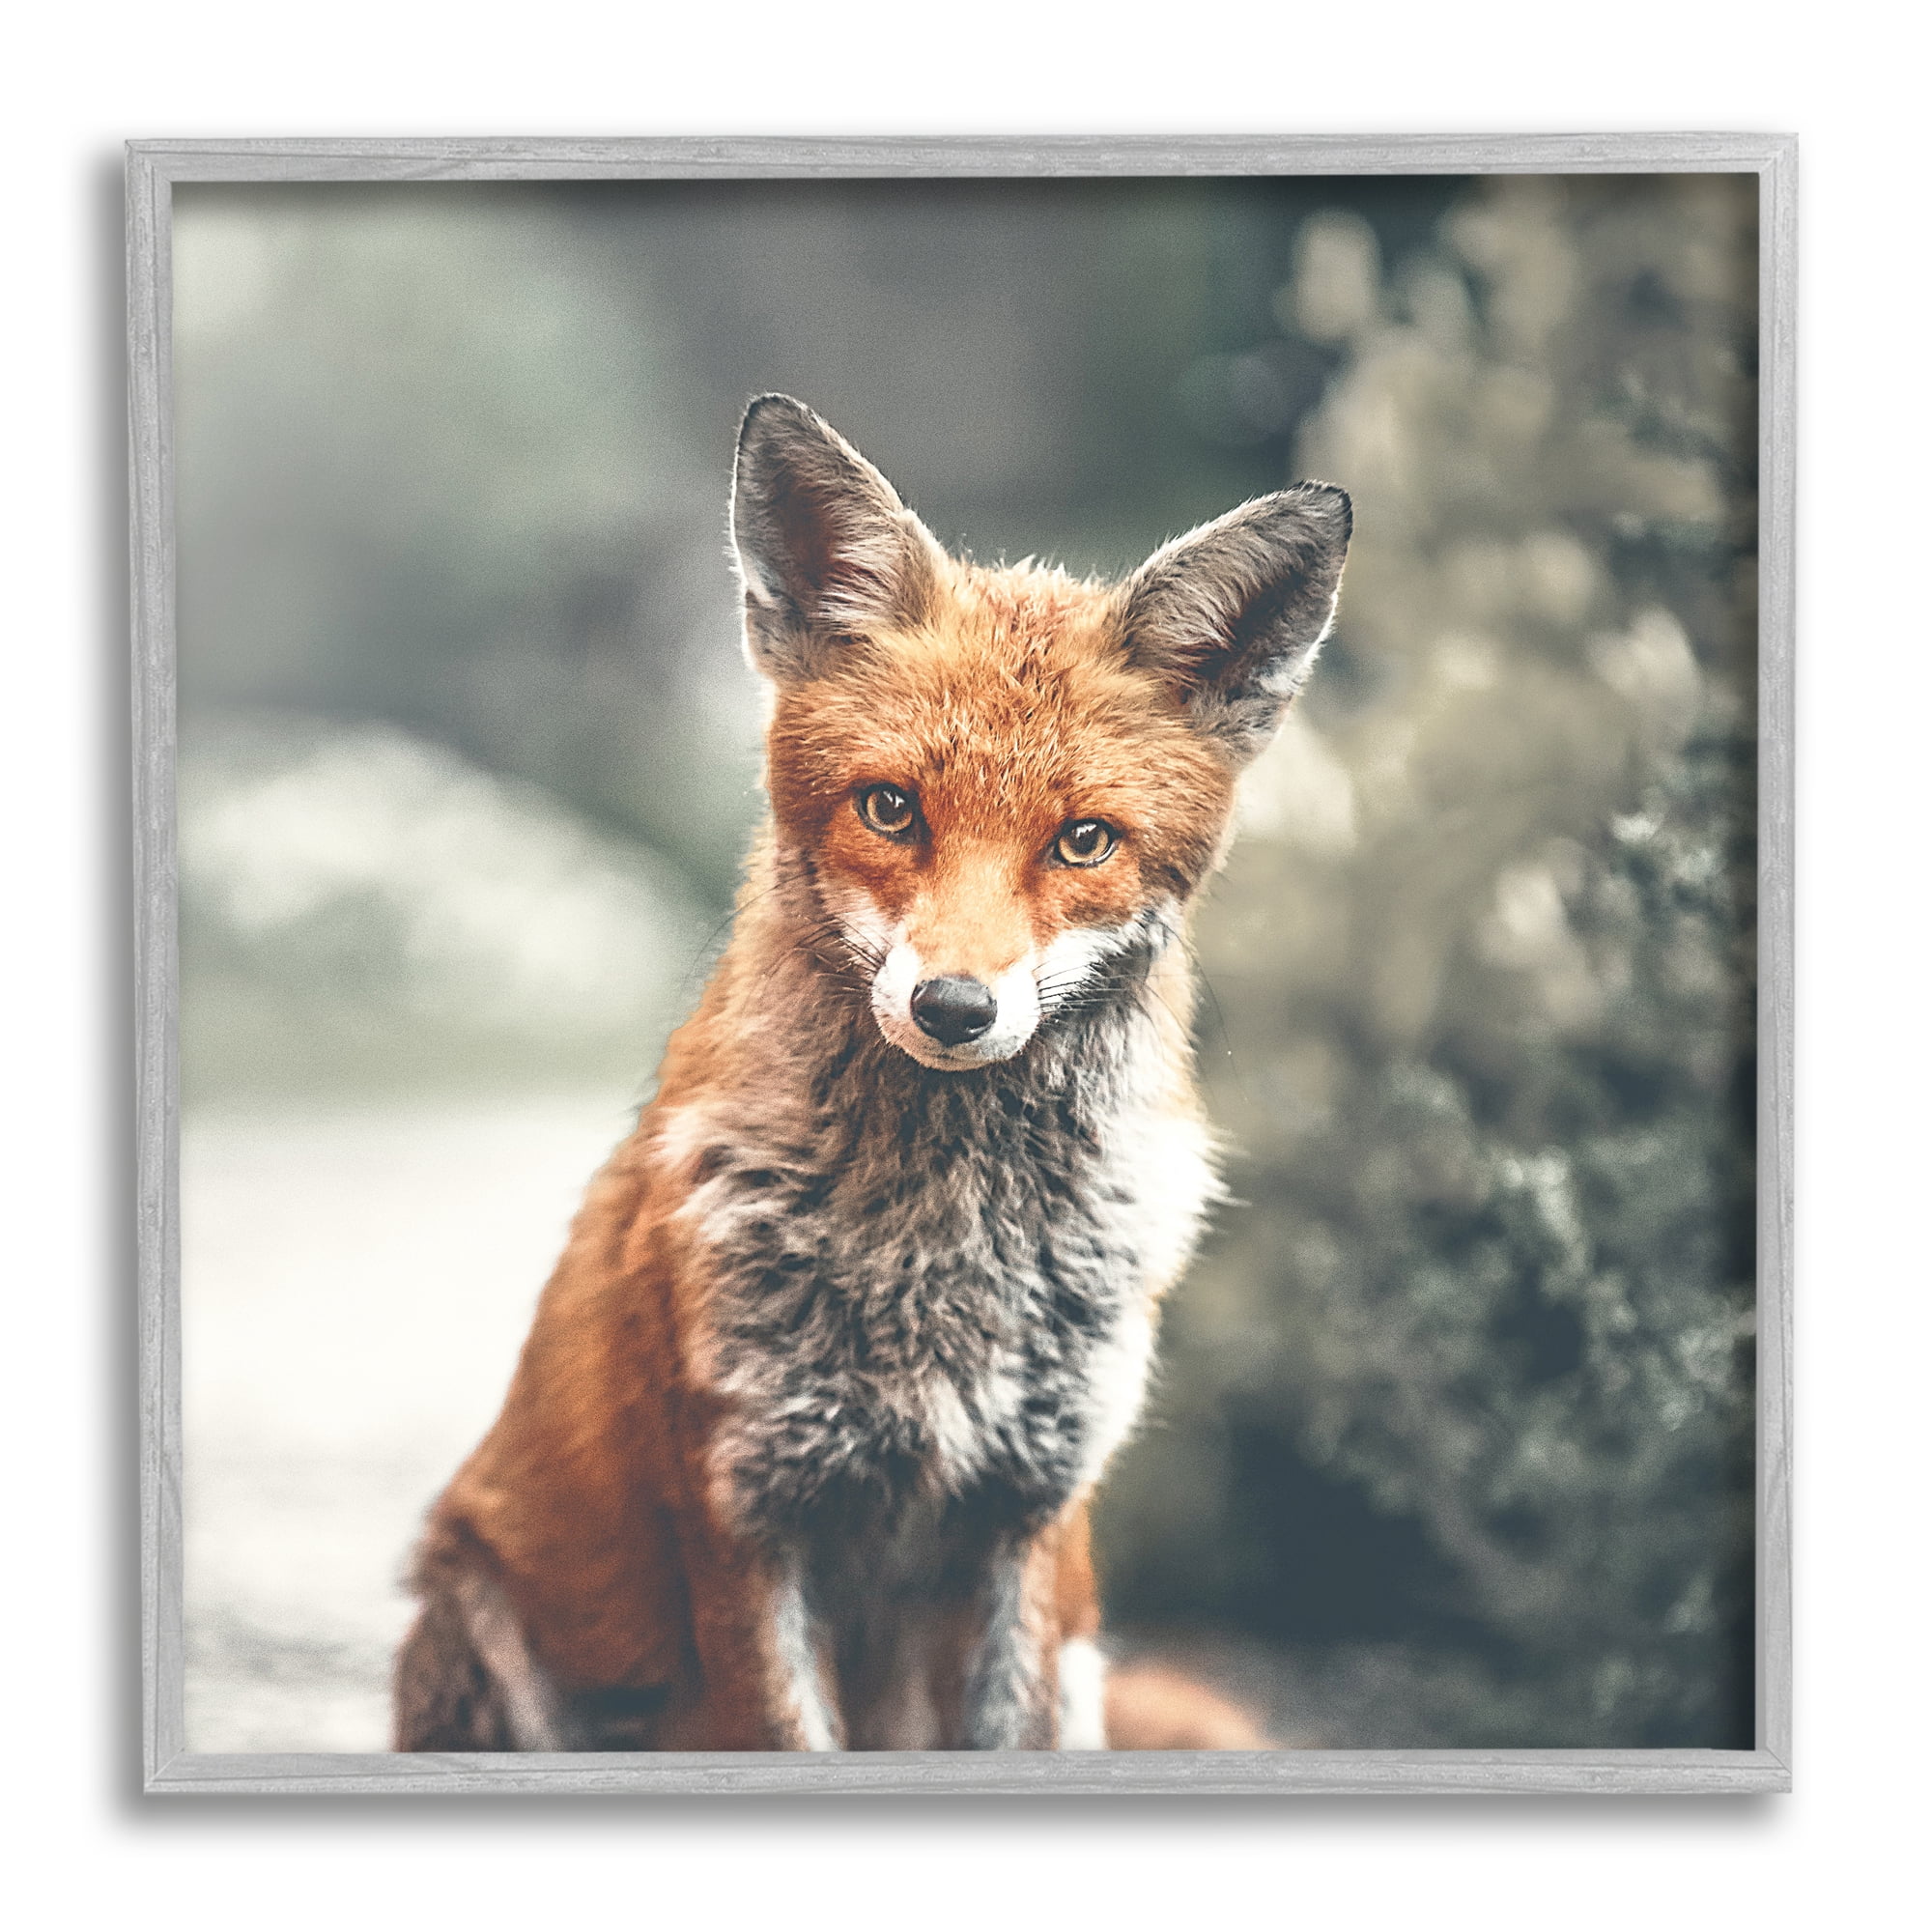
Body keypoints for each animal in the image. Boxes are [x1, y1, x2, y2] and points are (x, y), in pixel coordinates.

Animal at [391, 394, 1350, 1753]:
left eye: (1084, 840)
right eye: (890, 808)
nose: (953, 1007)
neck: (945, 1253)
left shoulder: (1028, 1513)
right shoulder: (745, 1512)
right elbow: (783, 1726)